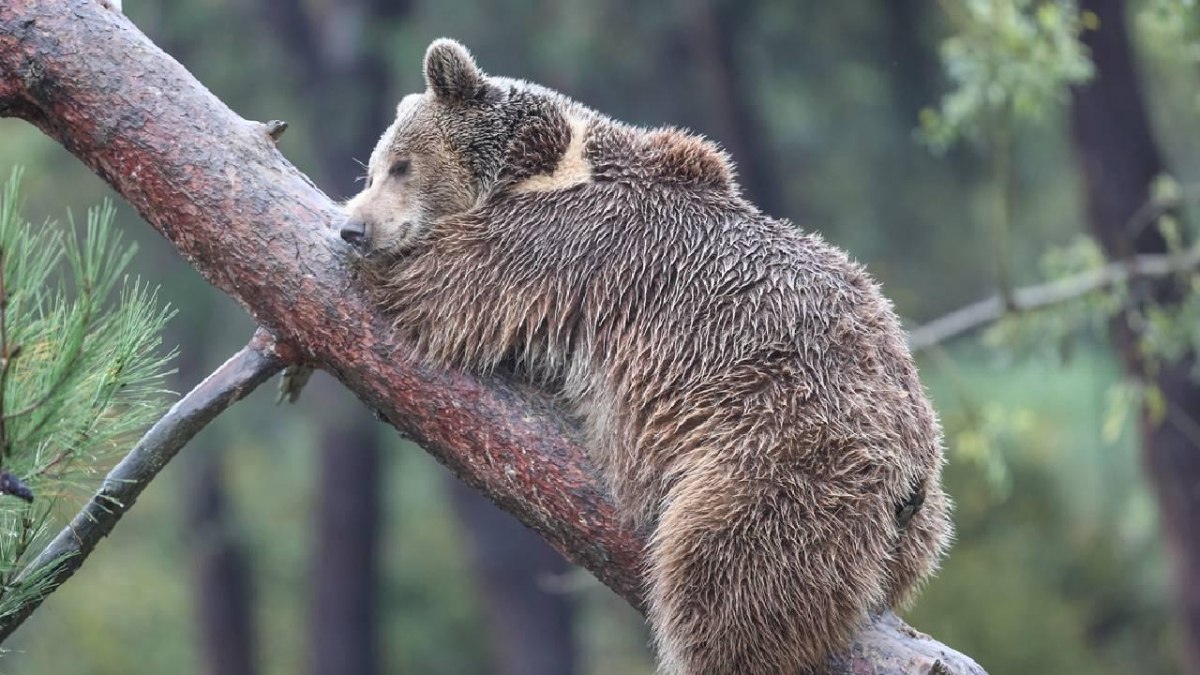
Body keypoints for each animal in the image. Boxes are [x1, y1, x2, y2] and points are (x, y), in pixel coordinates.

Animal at [343, 38, 950, 672]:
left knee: (723, 578)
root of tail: (911, 468)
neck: (542, 164)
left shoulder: (563, 241)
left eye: (401, 164)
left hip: (783, 451)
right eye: (375, 165)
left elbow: (447, 282)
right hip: (916, 521)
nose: (354, 228)